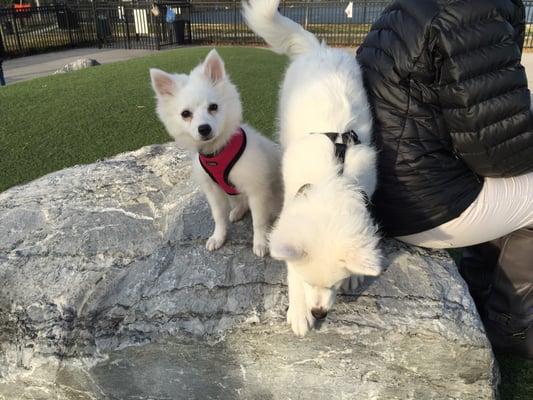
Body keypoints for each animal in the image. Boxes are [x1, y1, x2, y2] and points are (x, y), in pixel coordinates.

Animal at [243, 0, 384, 338]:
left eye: (335, 284)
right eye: (308, 282)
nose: (320, 313)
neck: (332, 179)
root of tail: (318, 49)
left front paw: (356, 274)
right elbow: (290, 266)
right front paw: (297, 312)